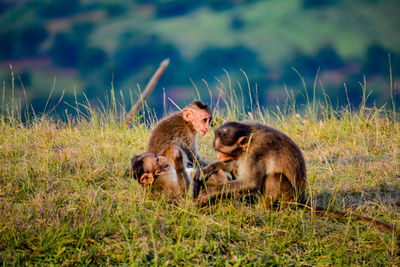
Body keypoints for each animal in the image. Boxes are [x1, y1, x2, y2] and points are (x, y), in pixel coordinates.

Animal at [193, 121, 396, 239]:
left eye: (221, 151)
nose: (219, 157)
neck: (249, 136)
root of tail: (301, 199)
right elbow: (234, 166)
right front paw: (209, 169)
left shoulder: (256, 151)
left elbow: (251, 182)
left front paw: (209, 193)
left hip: (288, 198)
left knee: (274, 177)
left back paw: (263, 211)